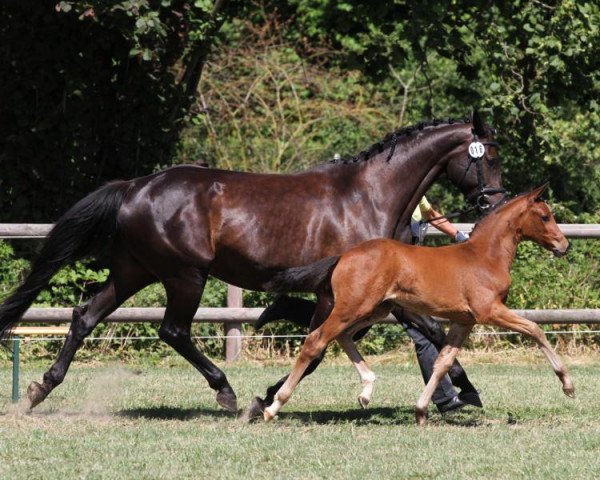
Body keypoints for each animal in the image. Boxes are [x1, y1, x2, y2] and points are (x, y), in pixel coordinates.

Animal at [0, 111, 504, 412]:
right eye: (490, 157)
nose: (492, 203)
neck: (370, 195)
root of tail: (135, 187)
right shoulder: (354, 292)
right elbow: (333, 345)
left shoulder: (369, 293)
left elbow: (406, 333)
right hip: (185, 275)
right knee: (173, 330)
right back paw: (225, 391)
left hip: (132, 271)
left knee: (85, 316)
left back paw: (39, 389)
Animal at [262, 186, 576, 426]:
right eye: (545, 216)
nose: (564, 246)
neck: (484, 256)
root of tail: (343, 256)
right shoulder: (489, 311)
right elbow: (535, 329)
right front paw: (567, 385)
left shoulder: (465, 320)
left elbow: (442, 362)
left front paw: (421, 411)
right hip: (353, 307)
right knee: (316, 339)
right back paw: (273, 406)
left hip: (375, 309)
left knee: (343, 336)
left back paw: (366, 391)